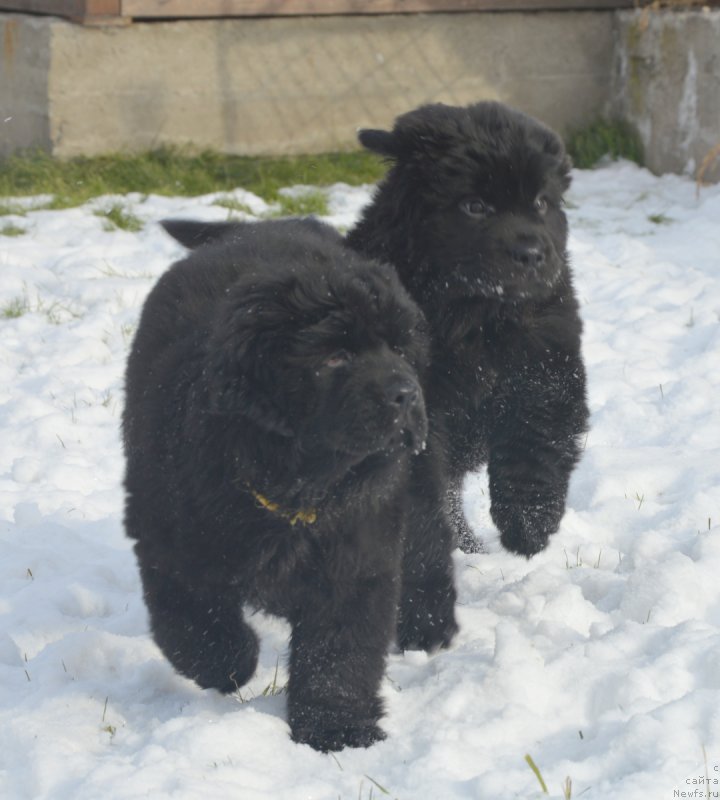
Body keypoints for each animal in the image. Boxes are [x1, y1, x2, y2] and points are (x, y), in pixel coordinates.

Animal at [122, 217, 428, 752]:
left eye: (399, 347)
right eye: (334, 357)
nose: (406, 393)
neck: (298, 490)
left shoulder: (357, 557)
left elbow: (339, 651)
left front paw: (336, 728)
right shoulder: (165, 540)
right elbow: (191, 620)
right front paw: (230, 662)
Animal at [348, 101, 592, 644]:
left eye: (541, 203)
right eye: (475, 206)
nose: (532, 253)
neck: (476, 317)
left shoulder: (548, 360)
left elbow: (537, 443)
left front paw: (528, 525)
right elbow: (420, 523)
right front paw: (425, 622)